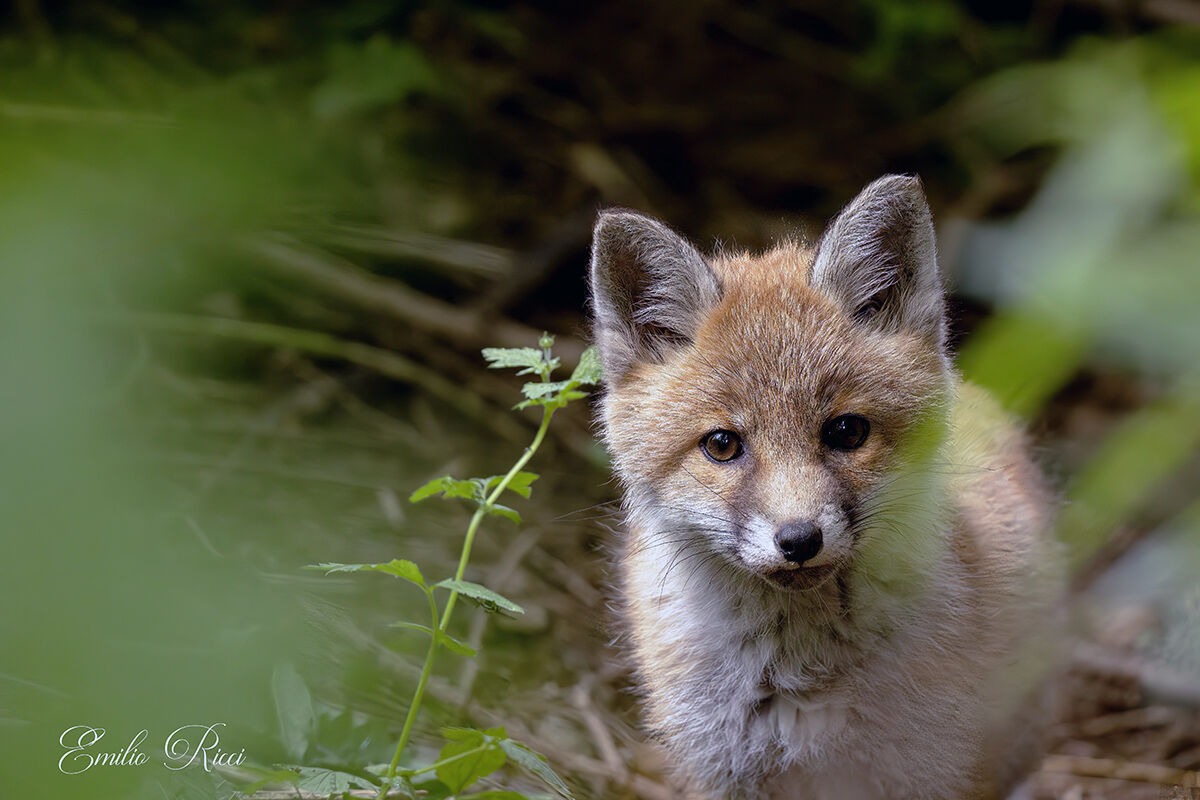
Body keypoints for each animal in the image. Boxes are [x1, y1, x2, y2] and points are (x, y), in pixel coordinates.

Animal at [587, 175, 1062, 800]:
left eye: (845, 431)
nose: (798, 540)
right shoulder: (723, 770)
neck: (796, 678)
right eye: (722, 445)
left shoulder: (927, 770)